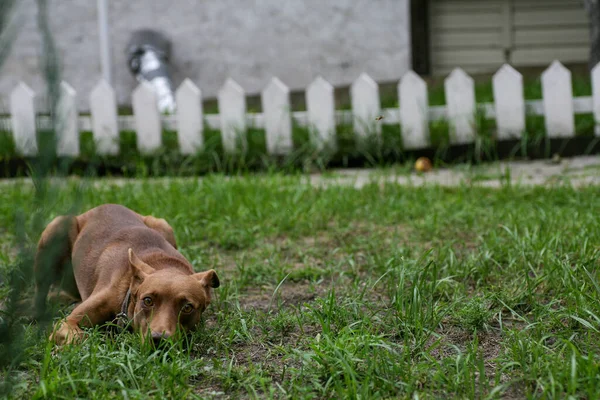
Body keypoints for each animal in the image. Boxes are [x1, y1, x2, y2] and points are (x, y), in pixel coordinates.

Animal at [33, 205, 220, 346]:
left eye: (187, 307)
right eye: (147, 301)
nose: (159, 340)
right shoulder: (67, 323)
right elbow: (79, 336)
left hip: (163, 225)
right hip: (56, 229)